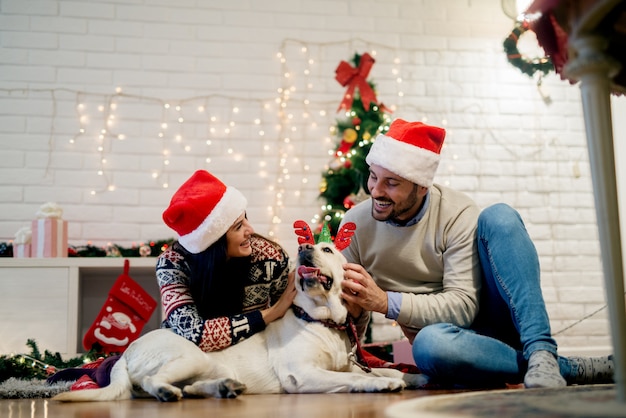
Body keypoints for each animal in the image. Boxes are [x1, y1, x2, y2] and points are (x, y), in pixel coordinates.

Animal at [53, 222, 426, 402]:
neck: (322, 320)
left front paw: (416, 376)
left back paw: (223, 388)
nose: (304, 248)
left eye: (328, 249)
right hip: (190, 356)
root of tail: (127, 352)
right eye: (311, 246)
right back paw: (167, 393)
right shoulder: (302, 374)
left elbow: (382, 369)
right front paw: (381, 385)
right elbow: (356, 378)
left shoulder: (349, 361)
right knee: (147, 383)